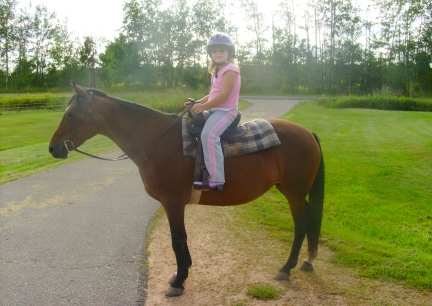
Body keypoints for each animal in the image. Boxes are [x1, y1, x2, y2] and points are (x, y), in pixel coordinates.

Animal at [49, 80, 324, 296]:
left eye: (70, 114)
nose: (53, 148)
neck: (157, 141)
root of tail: (308, 133)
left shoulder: (172, 202)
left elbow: (177, 239)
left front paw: (179, 280)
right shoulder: (173, 204)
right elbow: (183, 238)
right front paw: (183, 270)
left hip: (294, 193)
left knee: (301, 223)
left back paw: (286, 268)